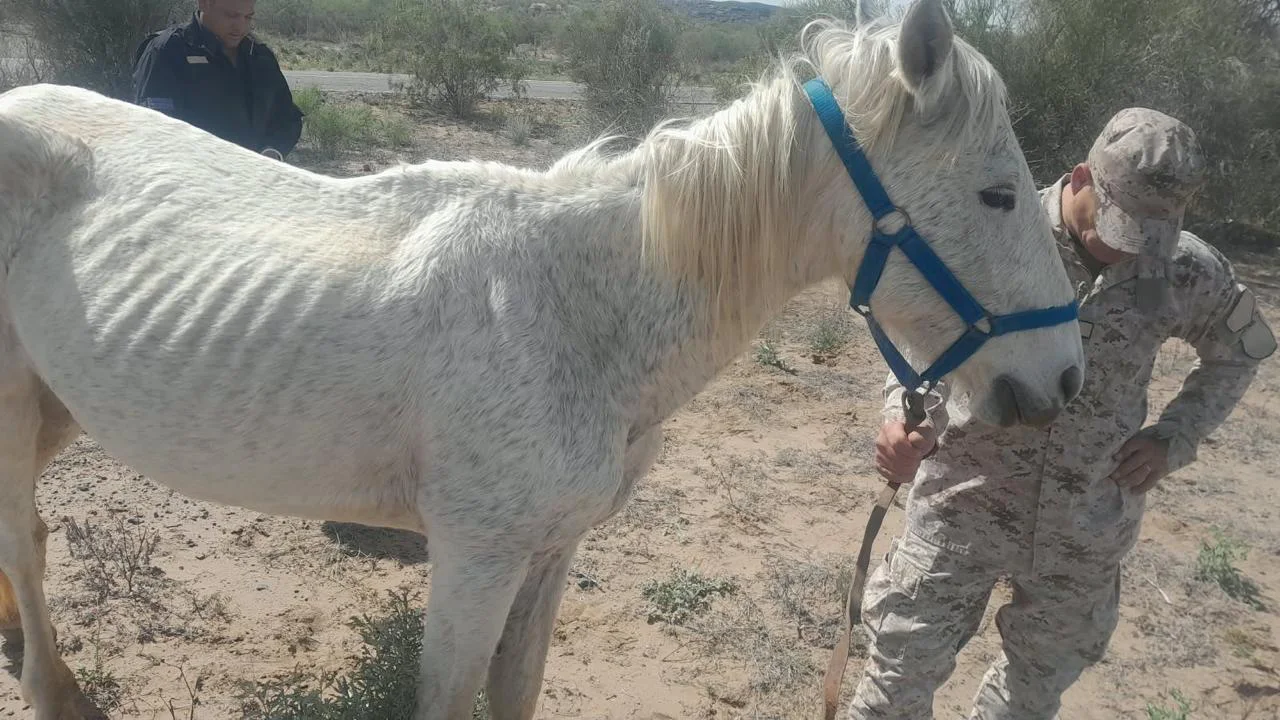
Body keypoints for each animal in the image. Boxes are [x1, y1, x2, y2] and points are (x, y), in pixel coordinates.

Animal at [0, 0, 1084, 717]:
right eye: (996, 193)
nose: (1064, 380)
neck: (574, 306)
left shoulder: (550, 552)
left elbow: (513, 689)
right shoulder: (475, 560)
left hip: (58, 408)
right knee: (22, 538)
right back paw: (54, 688)